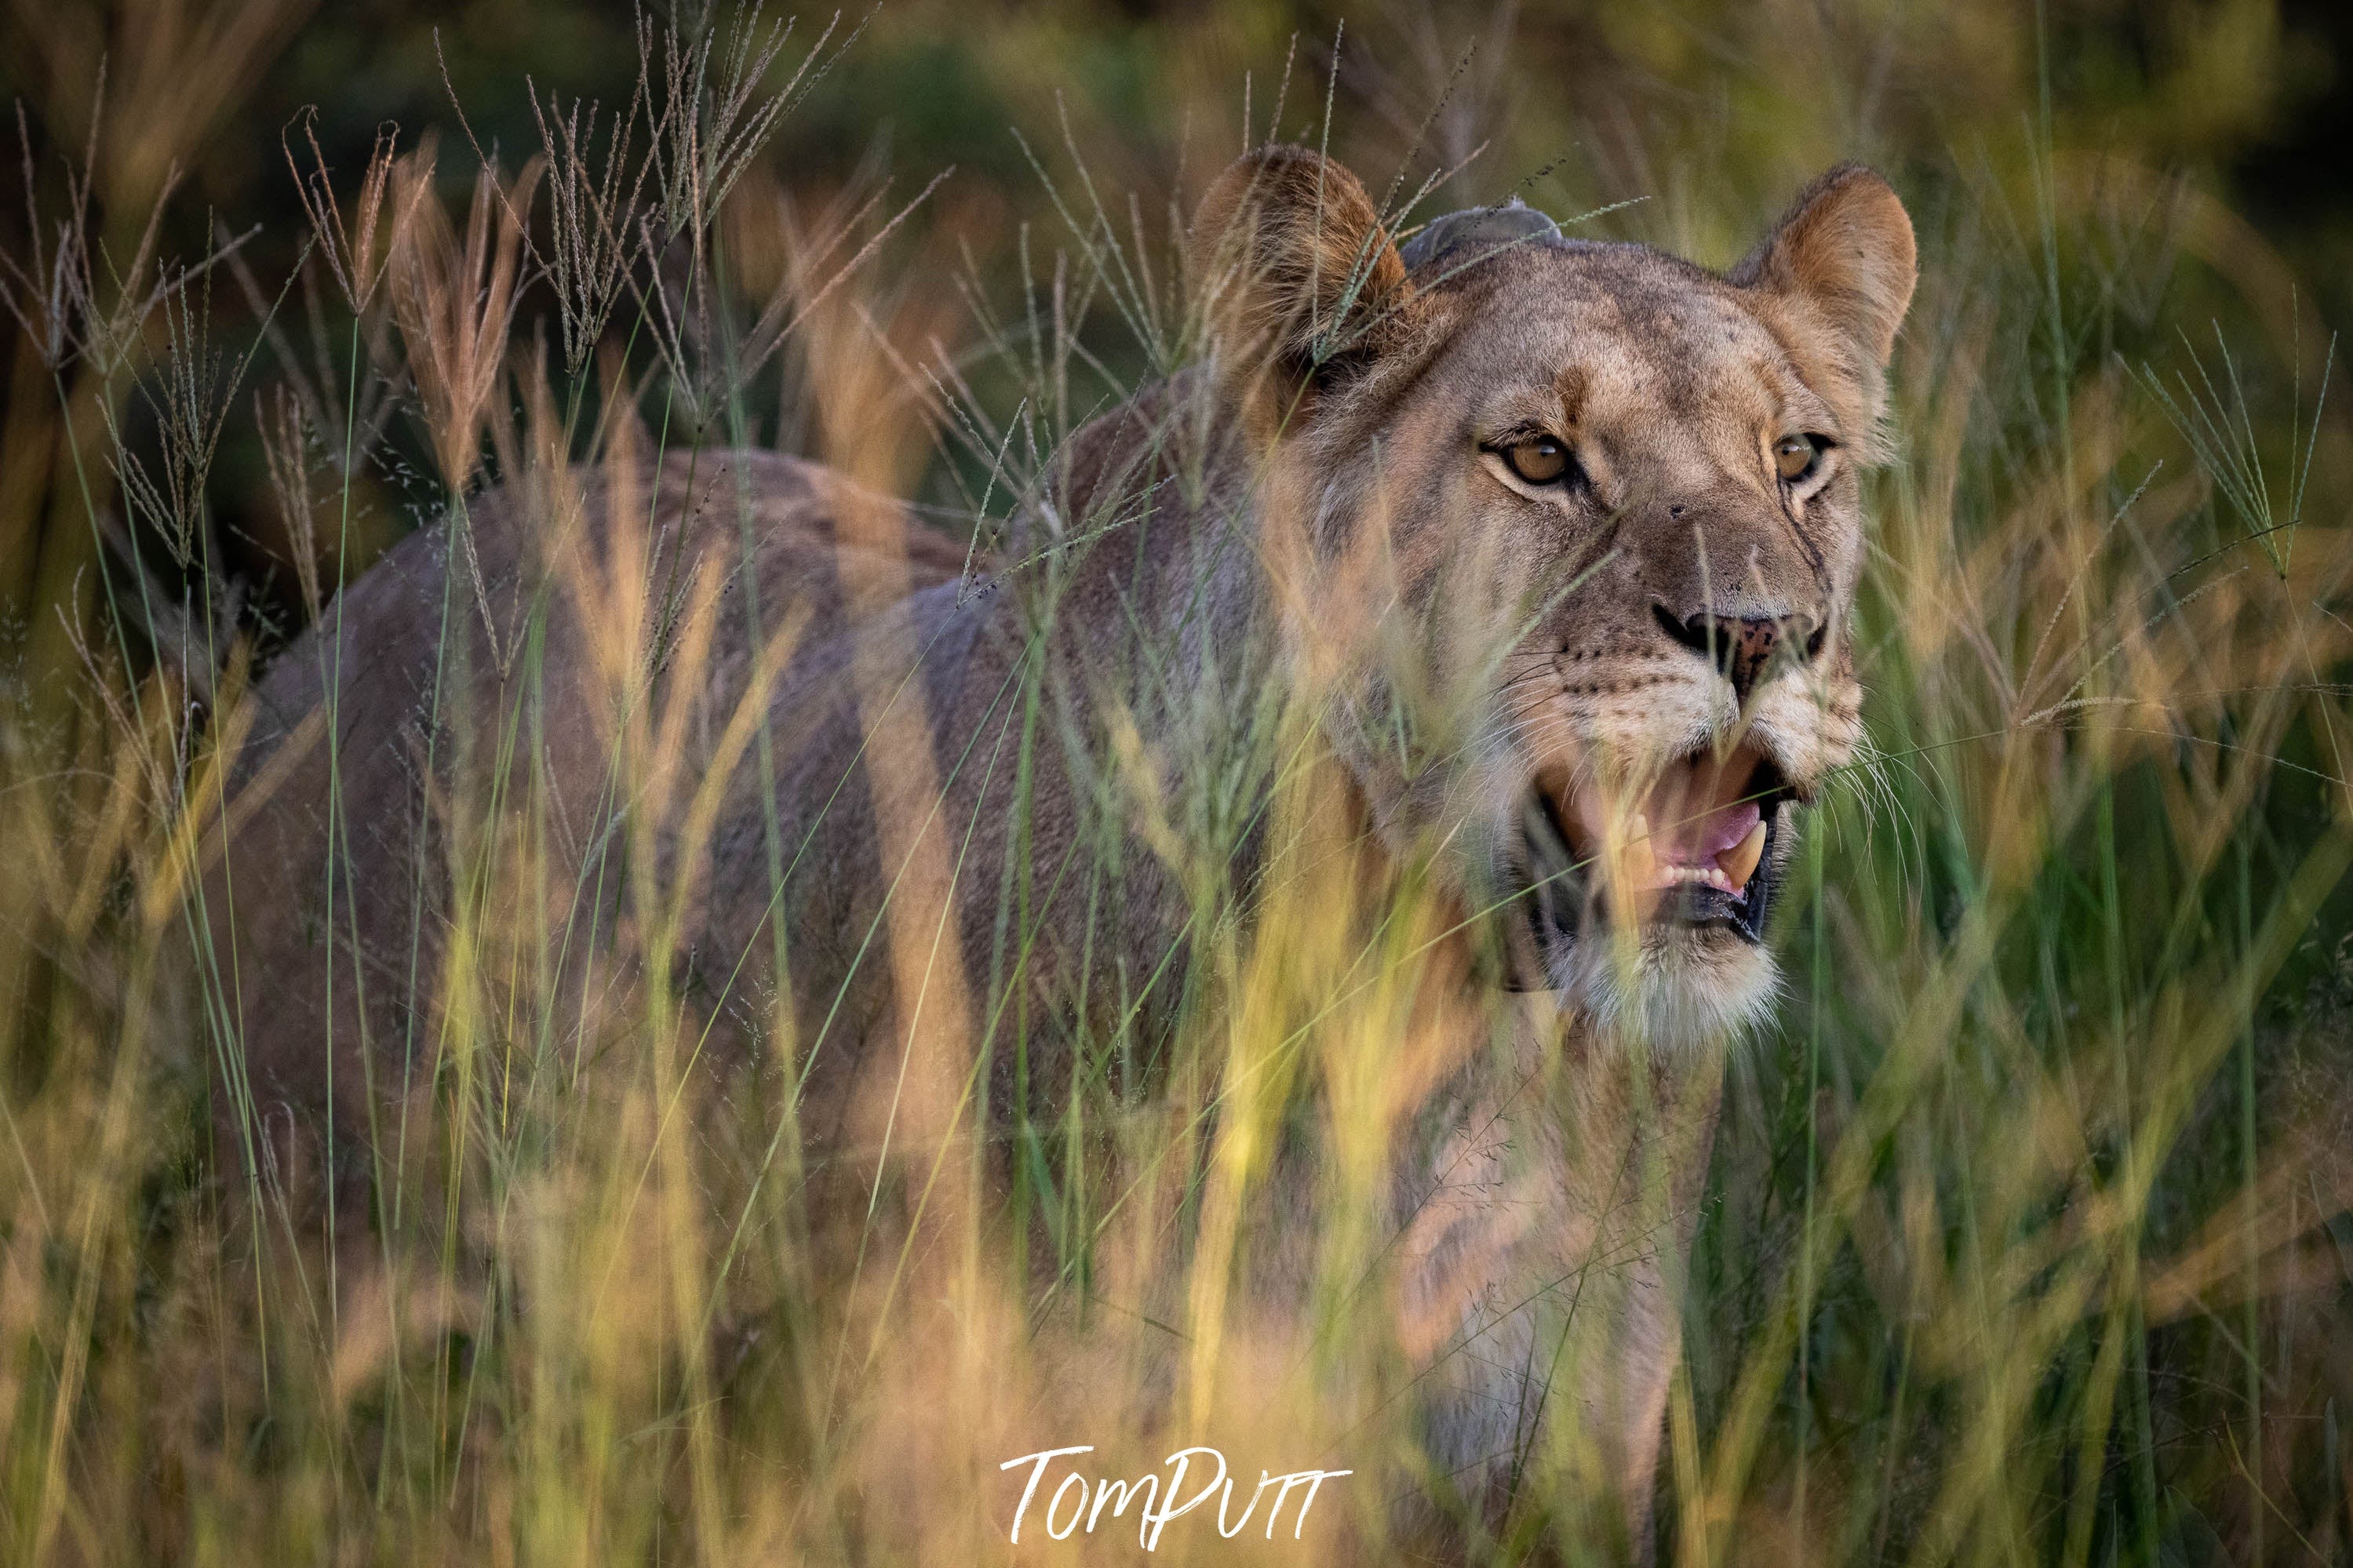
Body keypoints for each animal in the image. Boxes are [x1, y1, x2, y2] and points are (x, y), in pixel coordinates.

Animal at [205, 145, 1912, 1556]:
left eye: (1797, 457)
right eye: (1539, 459)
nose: (1761, 631)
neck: (1445, 1044)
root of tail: (351, 613)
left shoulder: (1558, 1472)